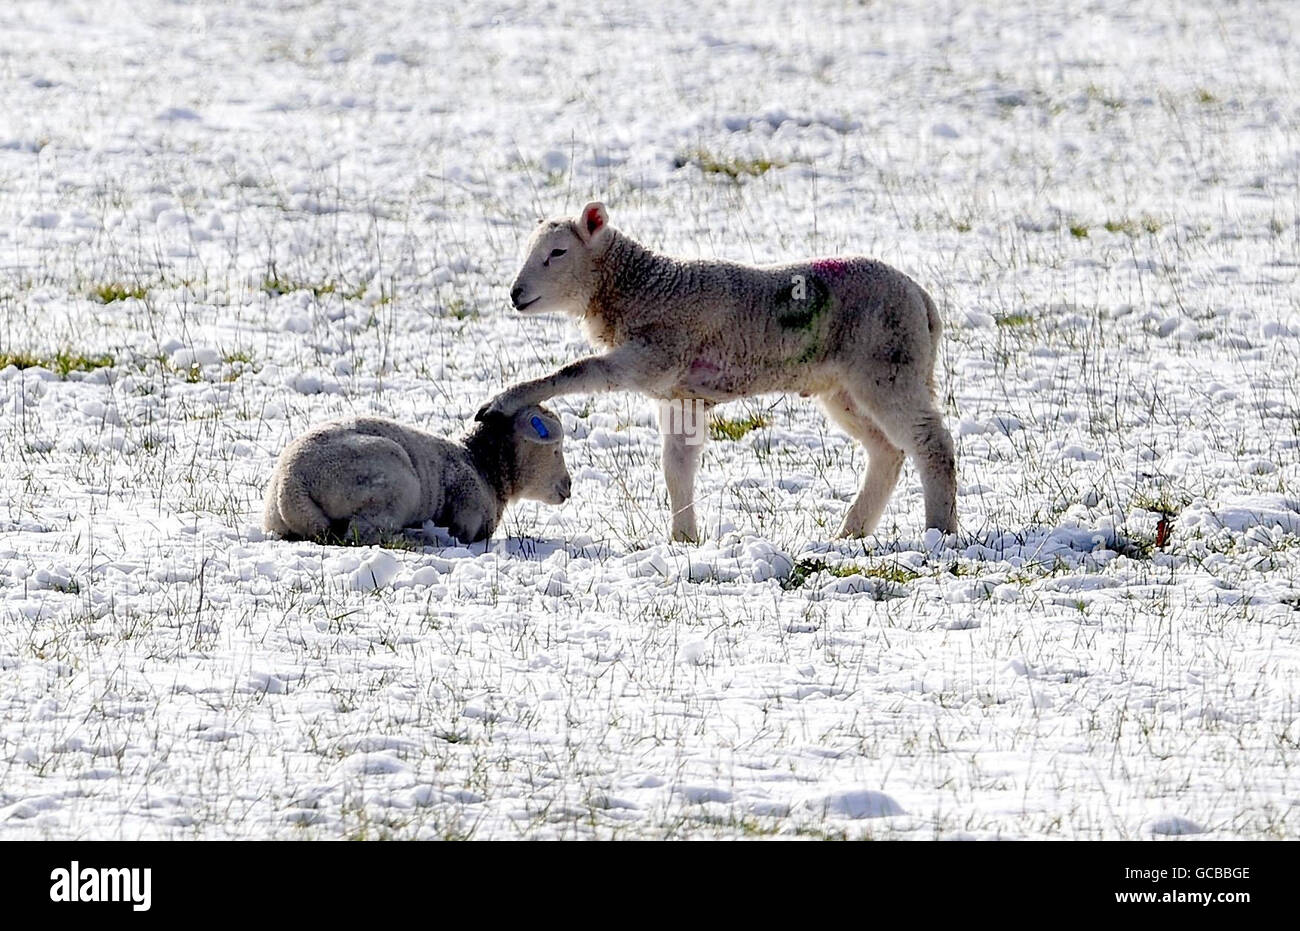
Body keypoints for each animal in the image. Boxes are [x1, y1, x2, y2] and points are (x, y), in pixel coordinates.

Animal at [262, 408, 569, 546]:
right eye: (555, 449)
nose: (569, 485)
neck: (483, 466)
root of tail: (291, 487)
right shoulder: (468, 507)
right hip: (394, 484)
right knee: (363, 532)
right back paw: (420, 535)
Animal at [478, 200, 956, 540]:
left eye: (557, 252)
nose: (515, 294)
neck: (643, 288)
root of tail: (922, 299)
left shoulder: (655, 354)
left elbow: (576, 371)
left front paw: (505, 399)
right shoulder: (680, 396)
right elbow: (676, 468)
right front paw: (683, 540)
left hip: (888, 366)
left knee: (931, 443)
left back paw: (940, 532)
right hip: (844, 388)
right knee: (887, 451)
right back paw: (851, 531)